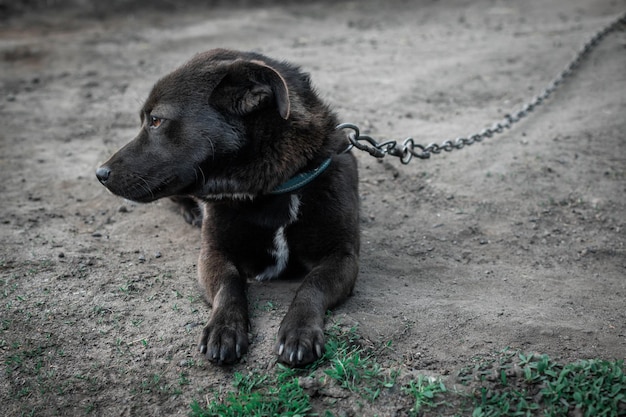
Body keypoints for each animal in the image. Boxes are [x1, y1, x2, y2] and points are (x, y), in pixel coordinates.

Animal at [95, 48, 358, 366]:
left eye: (156, 120)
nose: (99, 173)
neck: (275, 189)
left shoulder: (342, 255)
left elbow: (312, 284)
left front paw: (299, 329)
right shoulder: (213, 252)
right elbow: (229, 283)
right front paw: (224, 328)